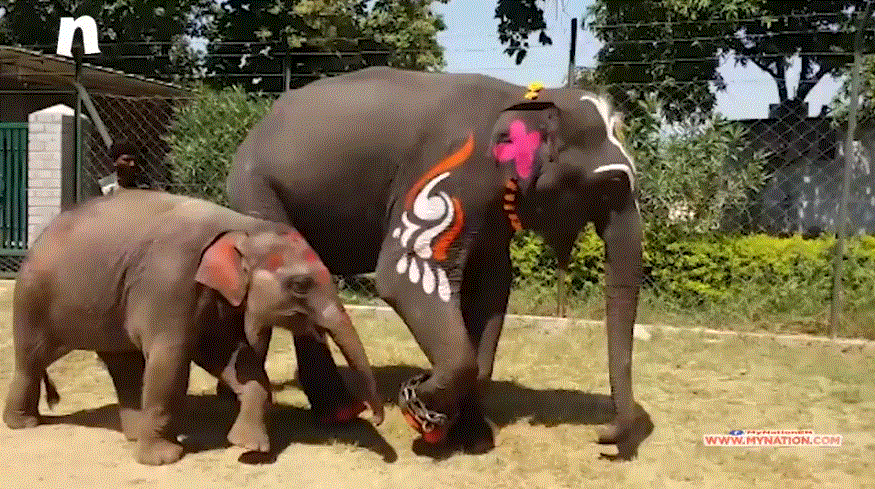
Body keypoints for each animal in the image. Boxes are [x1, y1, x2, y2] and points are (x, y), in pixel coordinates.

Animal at [2, 189, 384, 464]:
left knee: (122, 363)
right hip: (32, 300)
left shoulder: (217, 298)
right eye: (301, 285)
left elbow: (236, 360)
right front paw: (163, 460)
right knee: (31, 359)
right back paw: (23, 424)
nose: (375, 418)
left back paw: (132, 433)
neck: (244, 227)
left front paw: (250, 447)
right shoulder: (170, 282)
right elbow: (170, 362)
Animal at [226, 66, 648, 456]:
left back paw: (336, 412)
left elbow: (492, 288)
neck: (524, 98)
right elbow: (403, 275)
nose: (602, 437)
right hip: (256, 190)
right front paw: (420, 411)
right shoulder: (448, 175)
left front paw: (472, 438)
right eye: (611, 185)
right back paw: (336, 413)